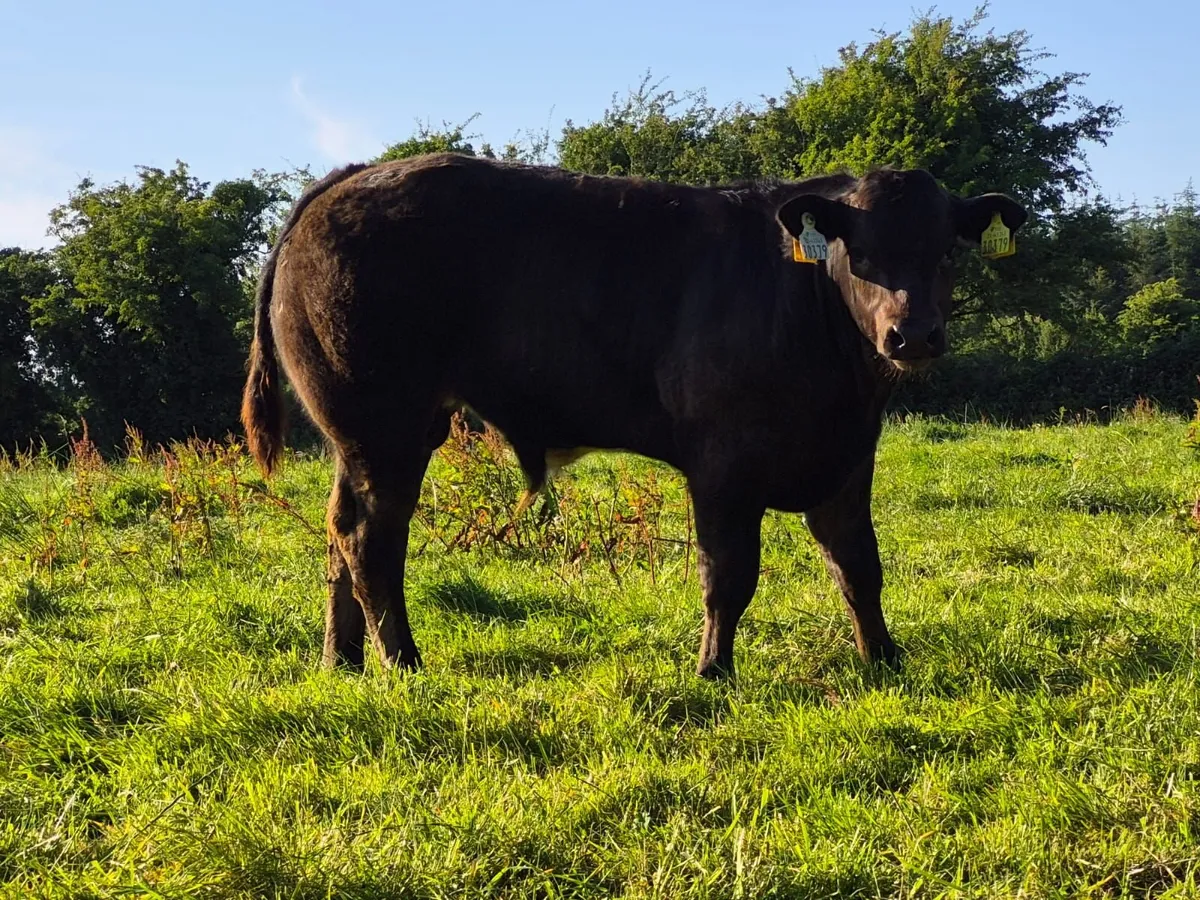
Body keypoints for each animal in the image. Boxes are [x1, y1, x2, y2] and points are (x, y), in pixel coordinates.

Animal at [241, 153, 1026, 679]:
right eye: (856, 252)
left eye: (945, 251)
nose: (912, 335)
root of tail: (354, 175)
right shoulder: (723, 463)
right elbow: (728, 573)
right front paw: (715, 672)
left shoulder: (847, 458)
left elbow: (859, 564)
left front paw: (885, 660)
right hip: (388, 428)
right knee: (371, 540)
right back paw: (402, 660)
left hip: (357, 438)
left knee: (338, 535)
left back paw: (342, 660)